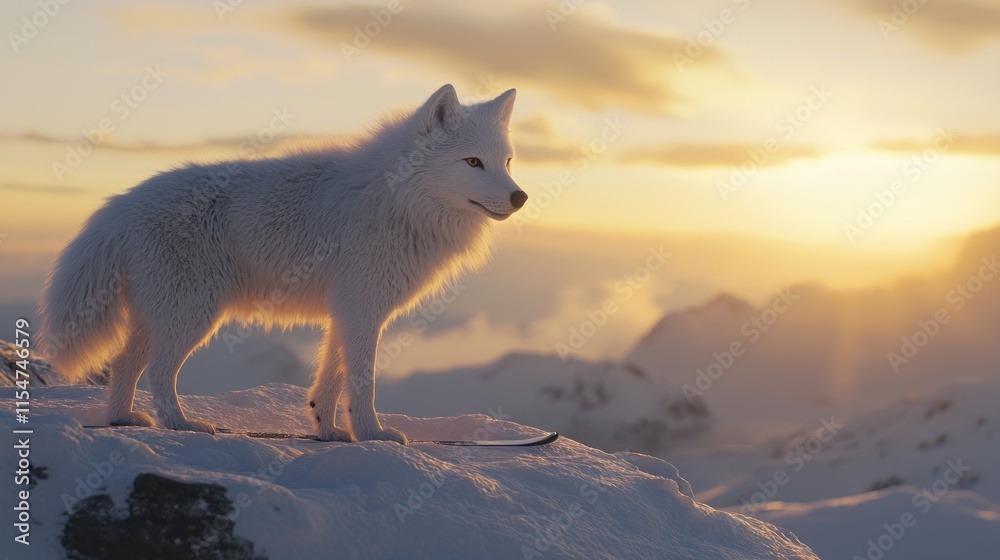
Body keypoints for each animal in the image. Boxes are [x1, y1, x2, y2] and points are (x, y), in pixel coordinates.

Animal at [38, 84, 526, 445]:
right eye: (472, 161)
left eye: (506, 162)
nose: (520, 197)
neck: (397, 200)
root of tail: (123, 202)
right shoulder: (362, 313)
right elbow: (361, 381)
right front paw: (372, 434)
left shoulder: (344, 315)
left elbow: (329, 381)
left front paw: (329, 431)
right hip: (194, 316)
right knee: (158, 373)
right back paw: (181, 425)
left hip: (160, 318)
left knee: (123, 366)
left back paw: (124, 420)